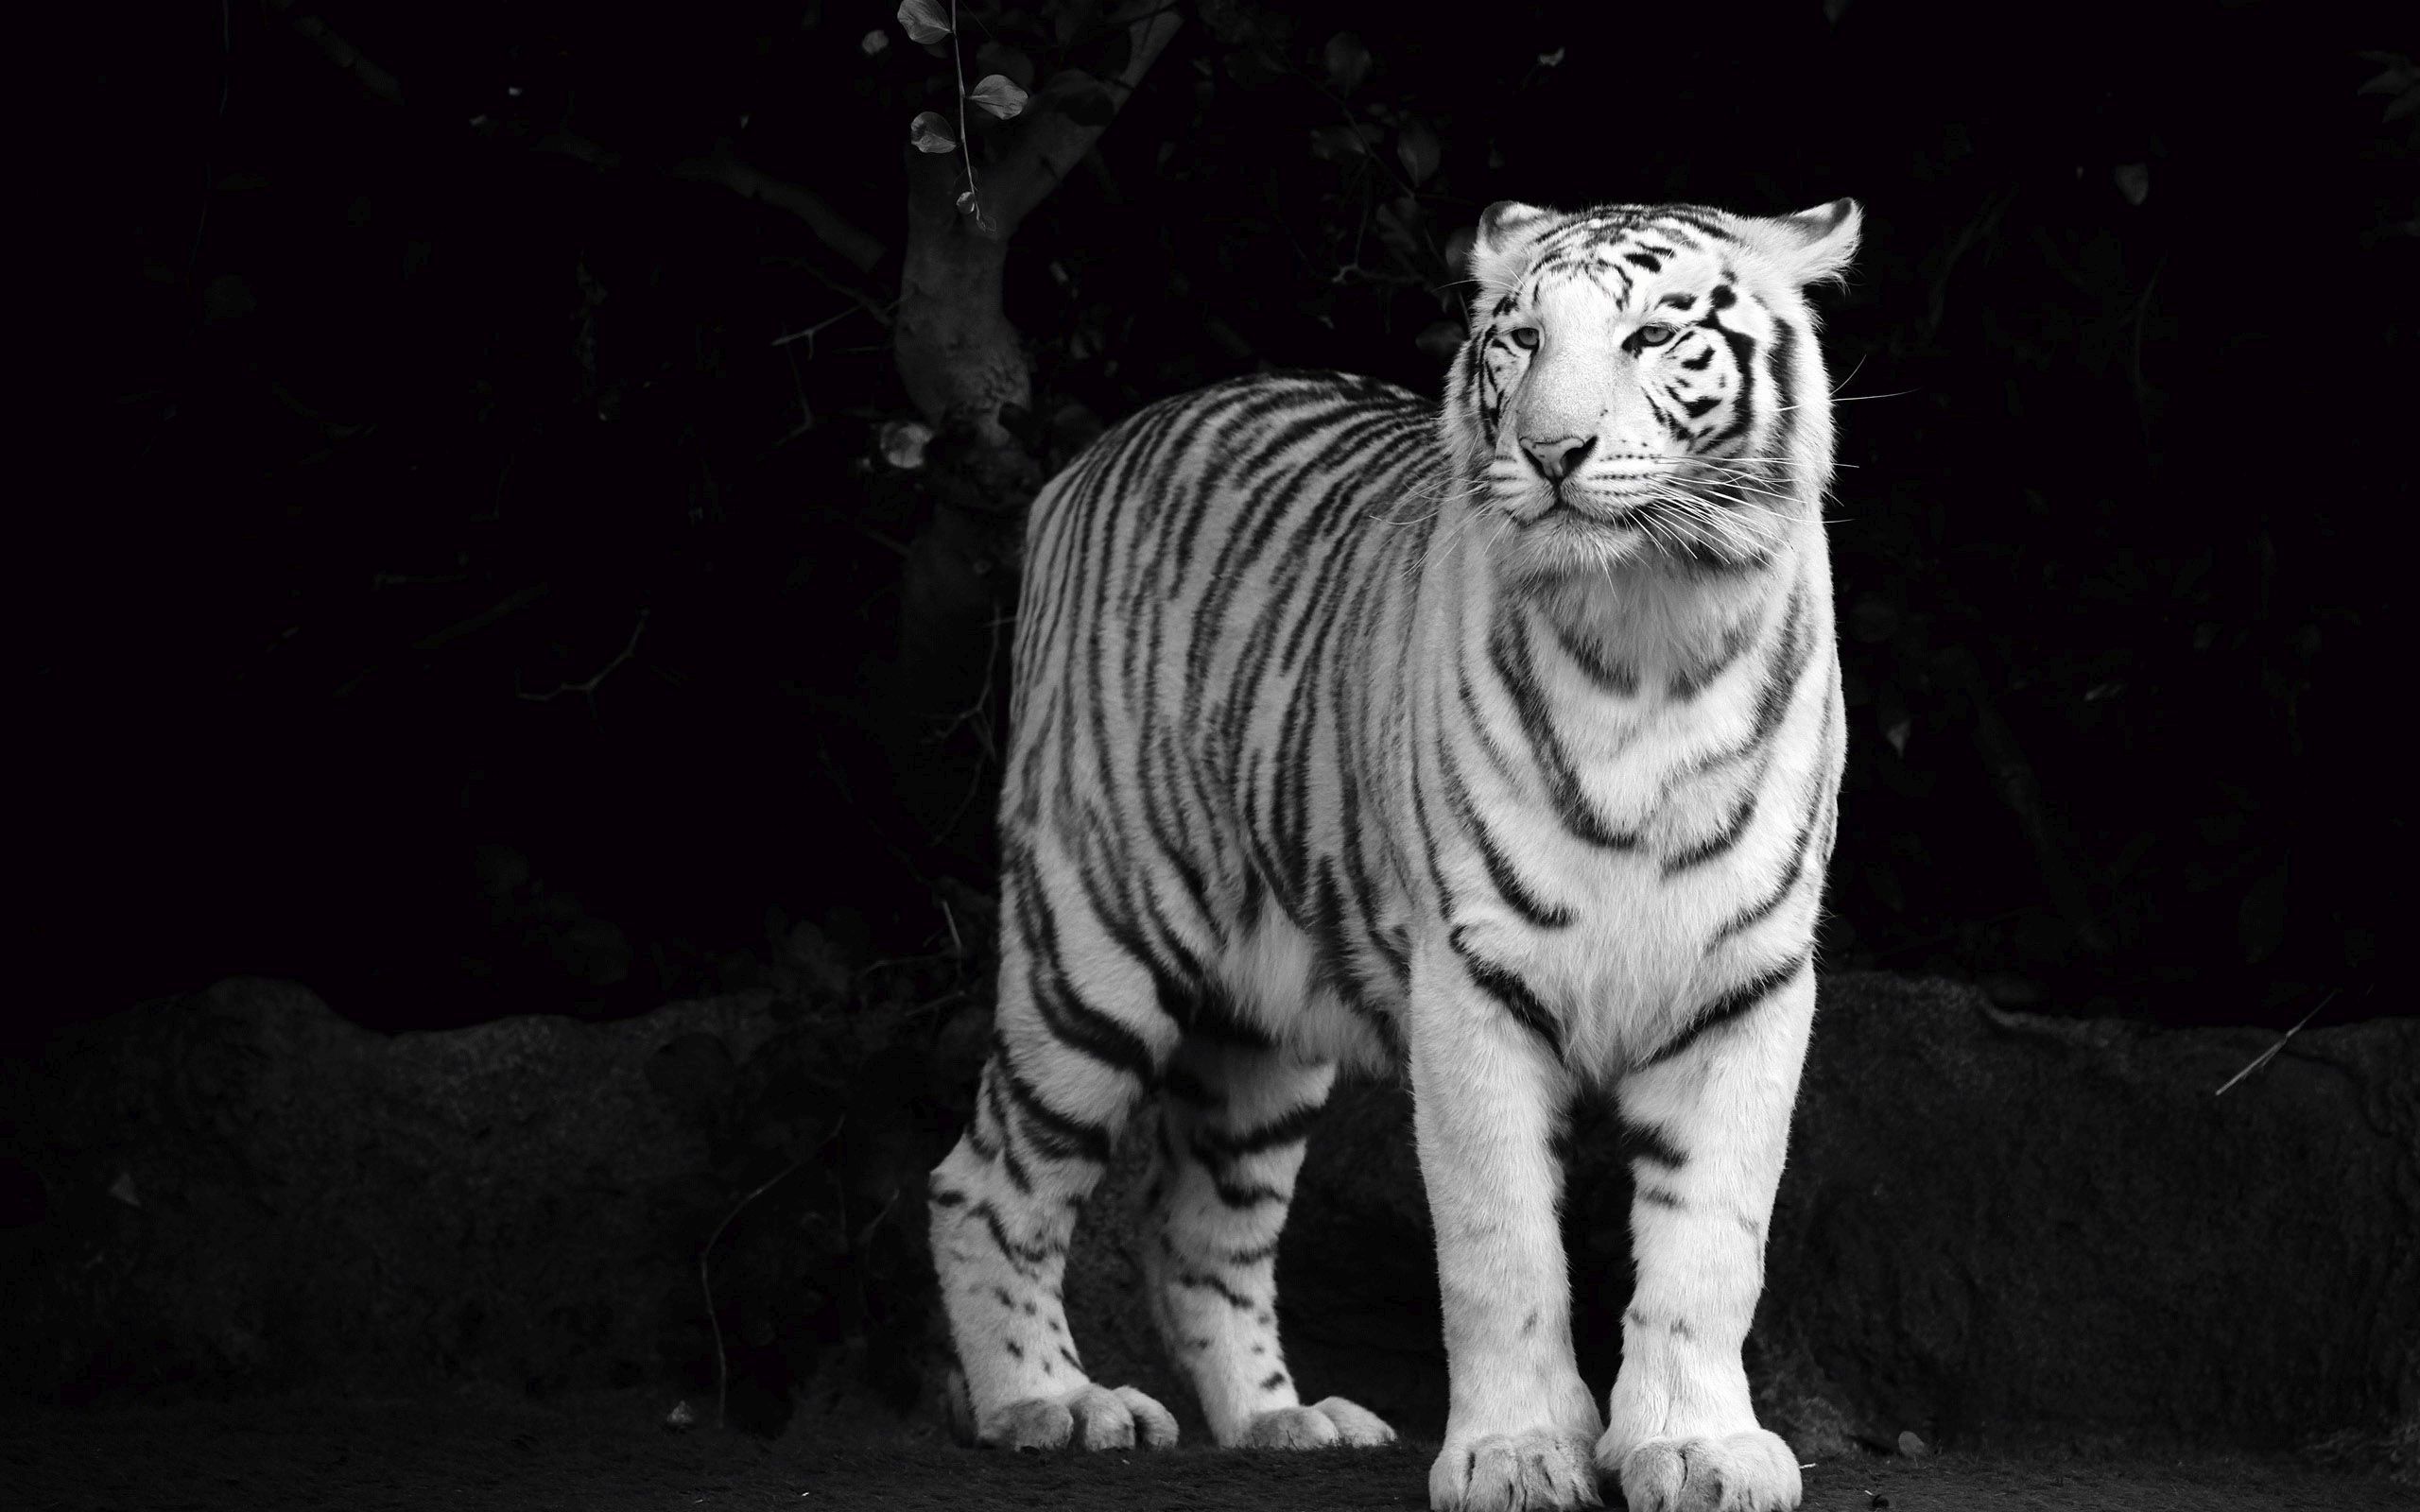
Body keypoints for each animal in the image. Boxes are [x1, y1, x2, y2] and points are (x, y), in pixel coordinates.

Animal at [924, 196, 1860, 1512]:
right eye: (1519, 340)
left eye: (1654, 335)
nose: (1552, 450)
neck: (1647, 635)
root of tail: (1096, 454)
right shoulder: (1473, 978)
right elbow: (1498, 1243)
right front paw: (1517, 1451)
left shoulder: (1747, 982)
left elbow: (1711, 1241)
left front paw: (1698, 1445)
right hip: (1094, 946)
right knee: (984, 1180)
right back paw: (1049, 1402)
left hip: (1259, 1030)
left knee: (1195, 1228)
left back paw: (1282, 1420)